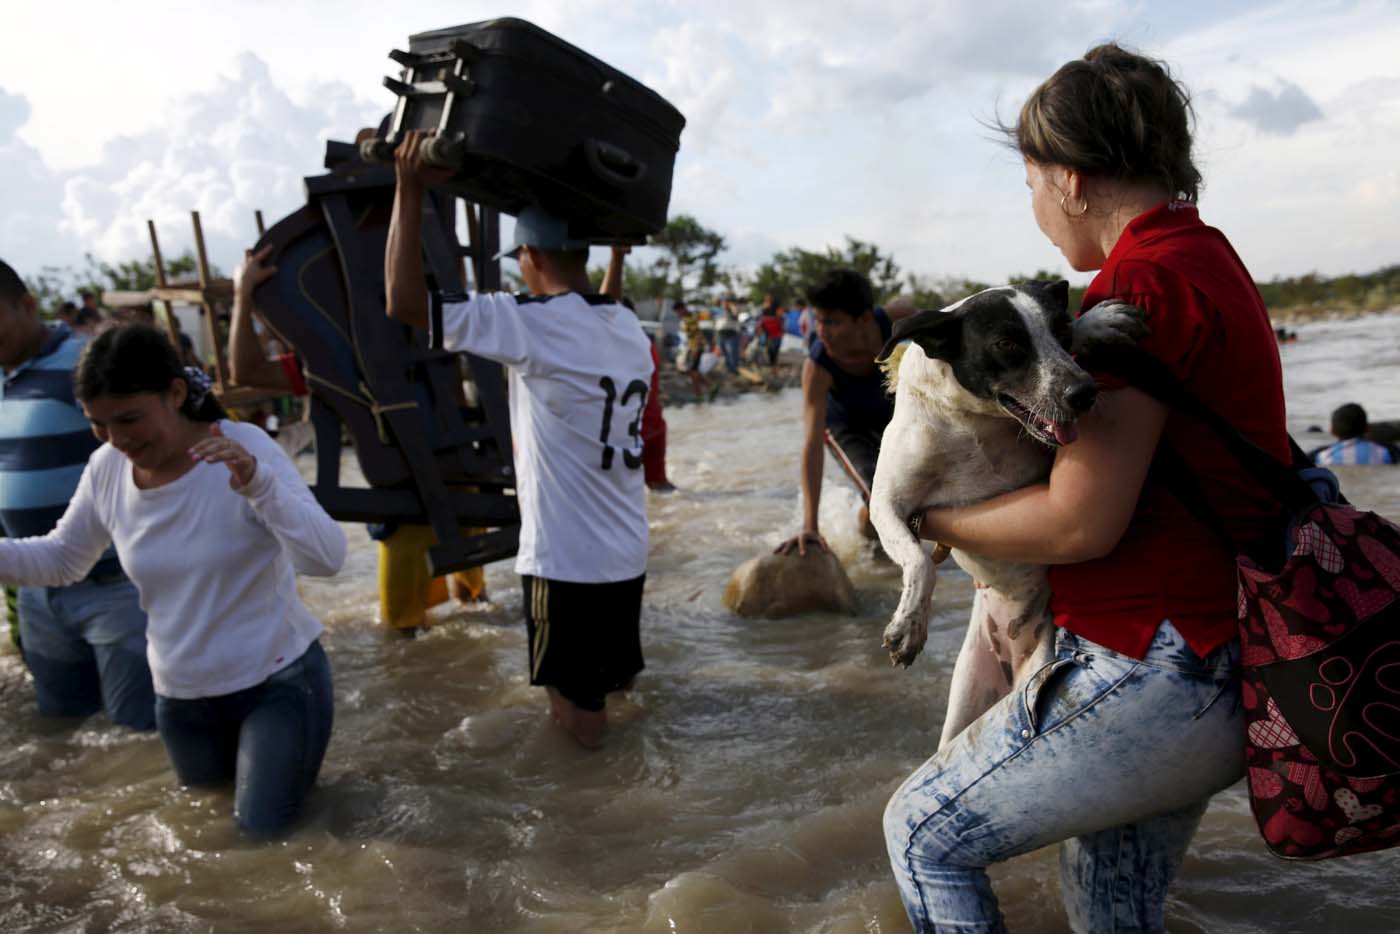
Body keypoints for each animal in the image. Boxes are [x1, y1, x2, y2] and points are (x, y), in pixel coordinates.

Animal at [873, 281, 1148, 750]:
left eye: (1060, 329)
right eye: (1007, 344)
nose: (1084, 393)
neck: (974, 422)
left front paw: (1096, 322)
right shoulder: (886, 501)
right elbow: (921, 561)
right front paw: (909, 626)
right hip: (963, 706)